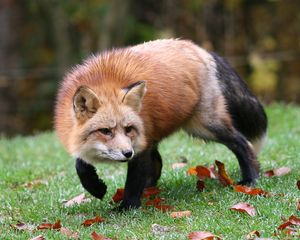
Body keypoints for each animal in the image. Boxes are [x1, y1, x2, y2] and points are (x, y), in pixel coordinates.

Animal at [55, 39, 268, 210]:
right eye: (105, 131)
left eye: (128, 129)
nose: (127, 153)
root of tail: (200, 48)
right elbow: (80, 165)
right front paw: (96, 187)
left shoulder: (140, 146)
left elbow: (133, 182)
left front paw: (126, 208)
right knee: (157, 164)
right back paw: (151, 190)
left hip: (206, 126)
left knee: (242, 143)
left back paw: (250, 178)